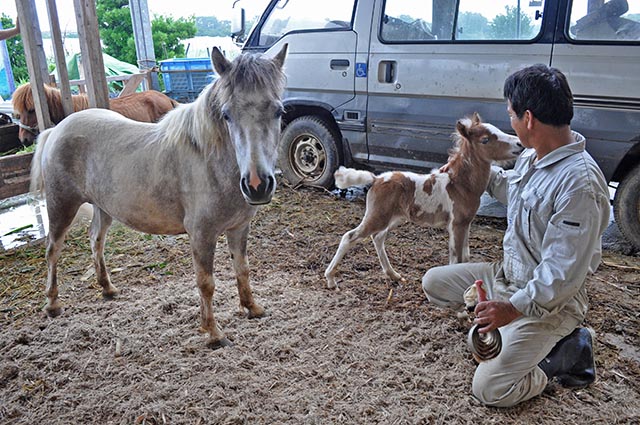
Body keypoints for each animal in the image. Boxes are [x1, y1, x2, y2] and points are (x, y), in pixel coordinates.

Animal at [30, 44, 288, 348]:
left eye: (279, 111)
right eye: (227, 115)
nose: (257, 185)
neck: (211, 162)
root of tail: (56, 129)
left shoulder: (239, 227)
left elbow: (243, 269)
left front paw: (252, 308)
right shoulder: (201, 233)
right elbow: (206, 283)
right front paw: (213, 333)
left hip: (104, 207)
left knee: (96, 241)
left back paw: (107, 289)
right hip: (62, 205)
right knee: (53, 249)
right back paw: (52, 304)